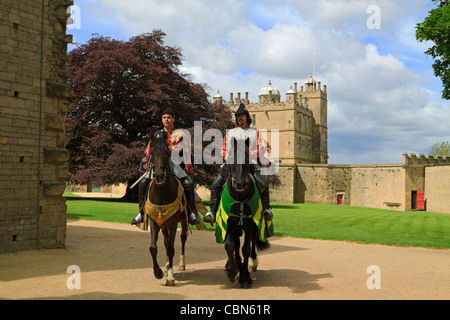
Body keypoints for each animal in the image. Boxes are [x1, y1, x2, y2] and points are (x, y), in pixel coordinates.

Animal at [147, 134, 189, 286]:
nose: (159, 176)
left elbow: (171, 249)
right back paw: (165, 268)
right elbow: (153, 247)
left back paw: (181, 265)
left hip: (183, 221)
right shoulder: (155, 222)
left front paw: (170, 277)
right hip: (163, 225)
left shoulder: (172, 223)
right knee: (165, 243)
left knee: (182, 238)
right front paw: (158, 272)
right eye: (152, 152)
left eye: (167, 153)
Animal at [223, 137, 268, 288]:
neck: (240, 197)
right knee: (236, 246)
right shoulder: (229, 222)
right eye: (231, 158)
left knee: (251, 244)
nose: (239, 184)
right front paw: (232, 271)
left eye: (248, 157)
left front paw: (244, 277)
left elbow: (246, 248)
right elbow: (230, 246)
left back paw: (251, 264)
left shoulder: (250, 224)